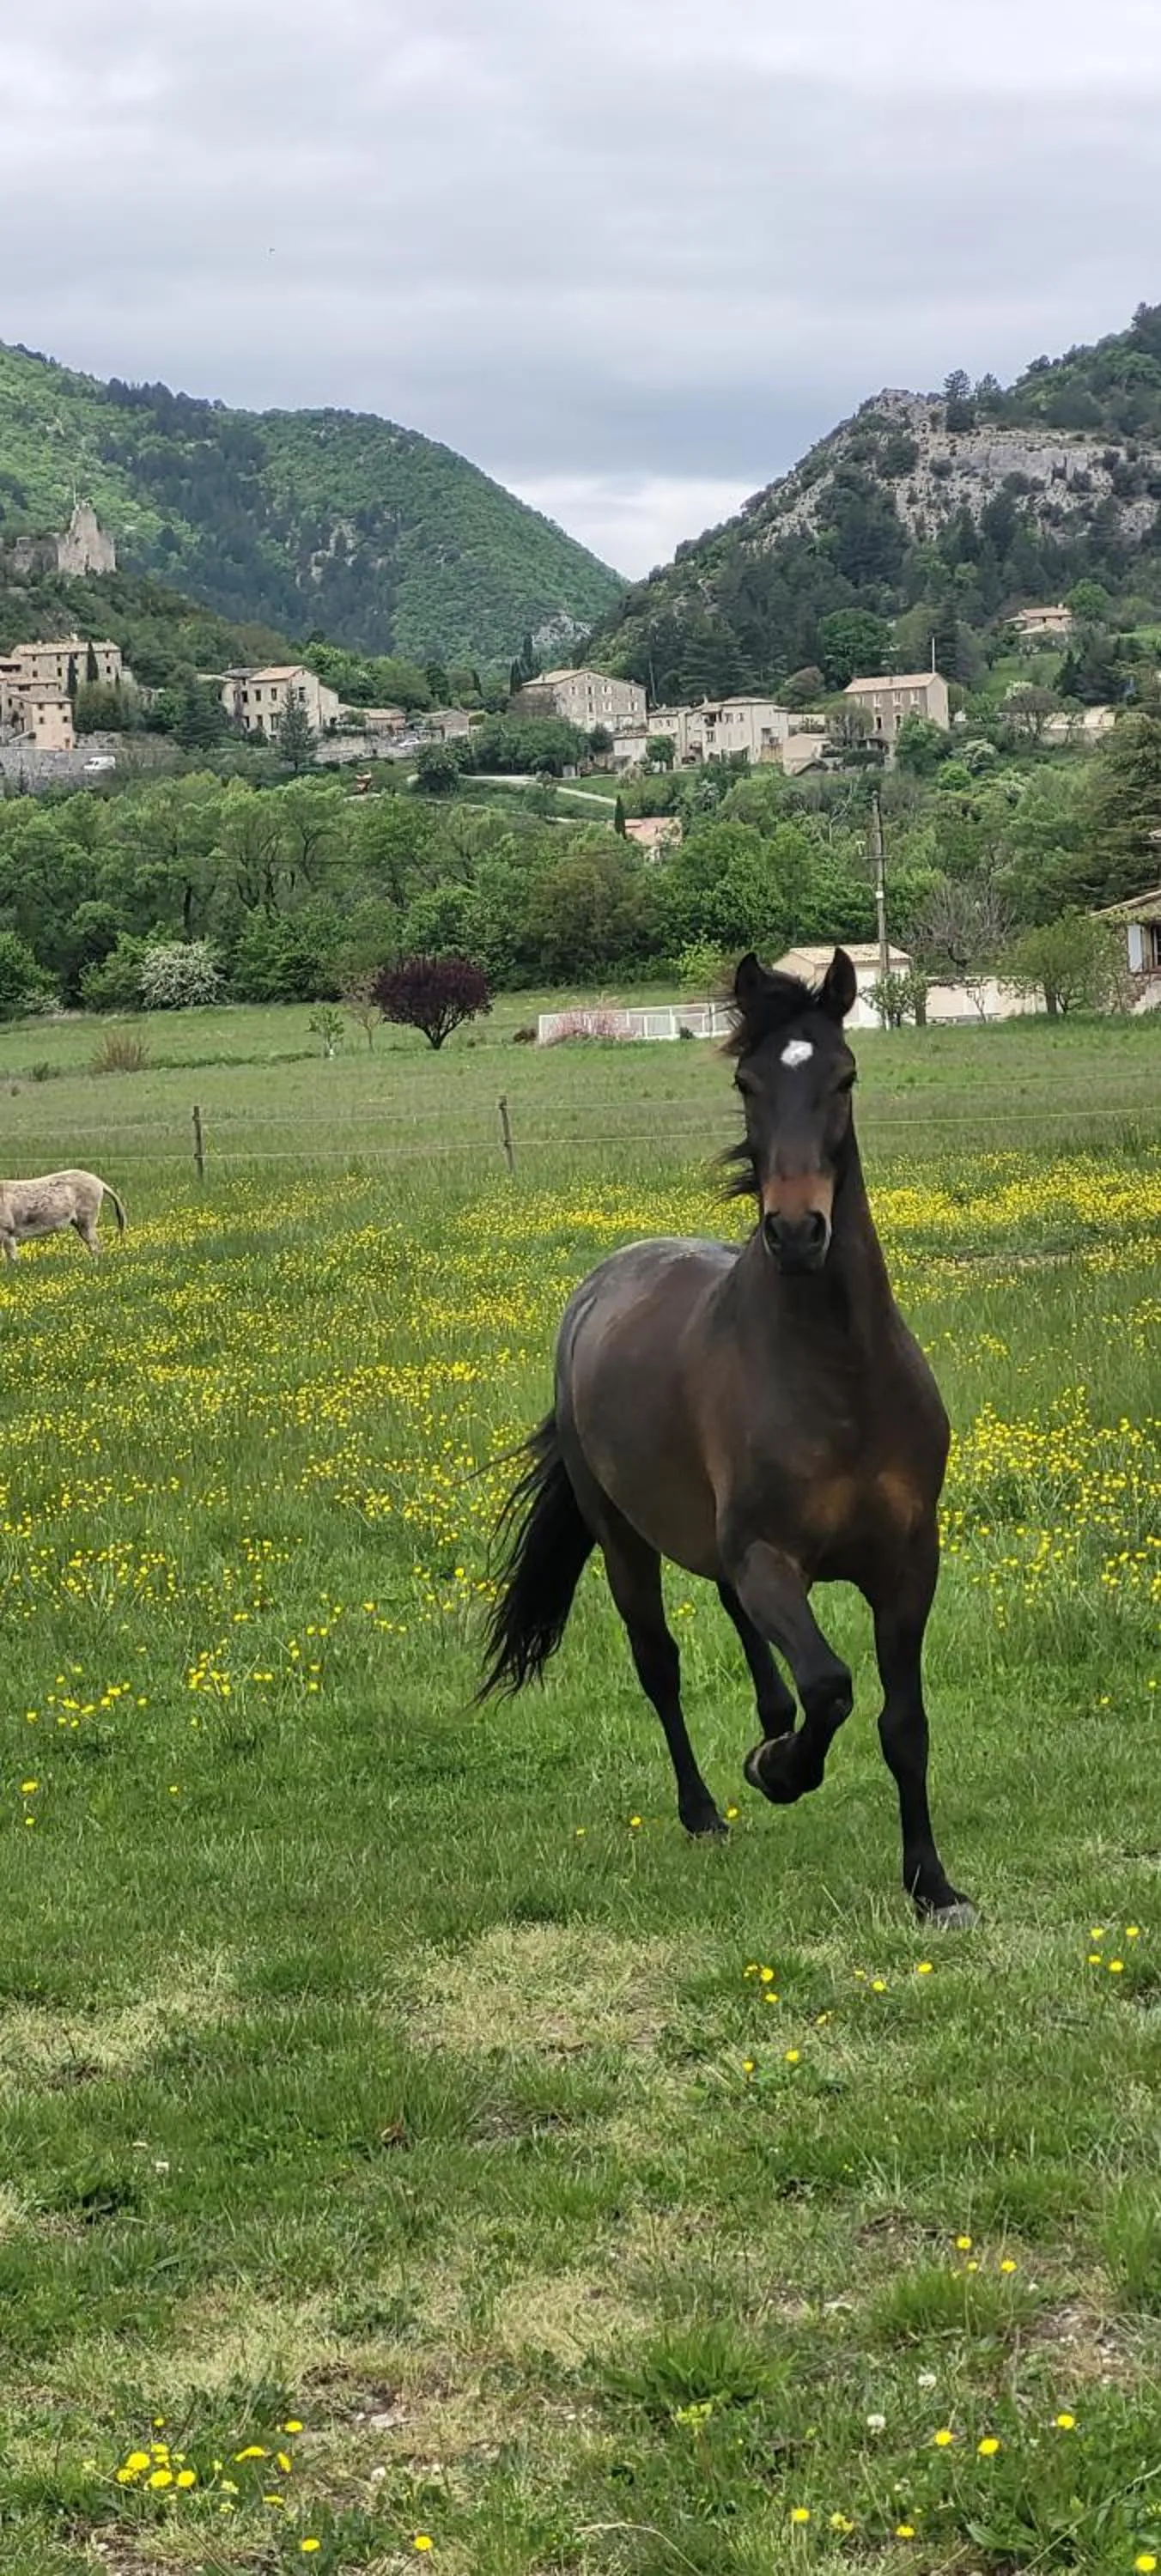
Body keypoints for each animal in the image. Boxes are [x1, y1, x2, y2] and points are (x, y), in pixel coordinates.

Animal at [0, 1169, 127, 1264]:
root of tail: (99, 1182)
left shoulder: (6, 1231)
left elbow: (11, 1258)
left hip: (87, 1219)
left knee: (95, 1246)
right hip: (79, 1223)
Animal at [480, 946, 974, 1926]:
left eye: (844, 1075)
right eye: (747, 1082)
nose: (795, 1231)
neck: (839, 1378)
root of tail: (601, 1282)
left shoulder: (908, 1562)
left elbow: (902, 1725)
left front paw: (931, 1884)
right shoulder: (767, 1556)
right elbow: (830, 1685)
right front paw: (778, 1772)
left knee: (737, 1627)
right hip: (625, 1543)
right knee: (660, 1665)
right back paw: (706, 1808)